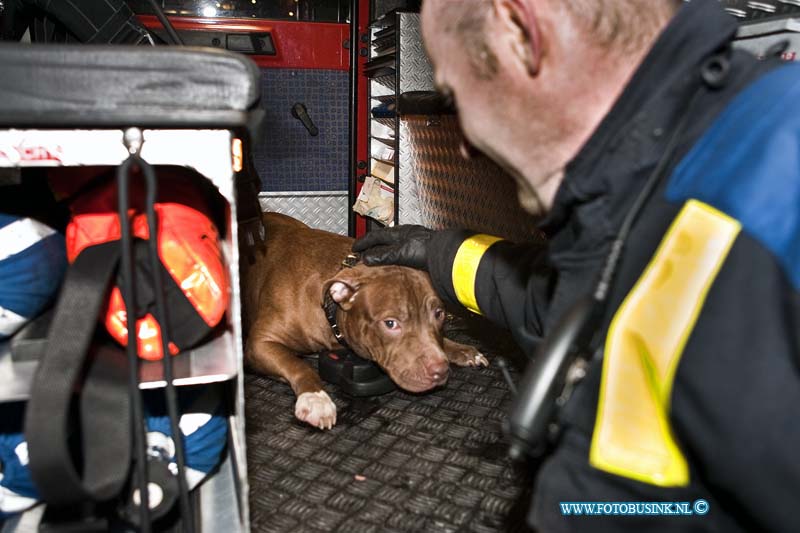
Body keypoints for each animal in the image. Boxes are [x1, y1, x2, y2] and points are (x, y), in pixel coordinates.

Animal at [241, 212, 484, 428]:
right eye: (390, 323)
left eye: (439, 314)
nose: (440, 370)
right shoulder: (259, 344)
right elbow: (297, 364)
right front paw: (315, 397)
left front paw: (460, 349)